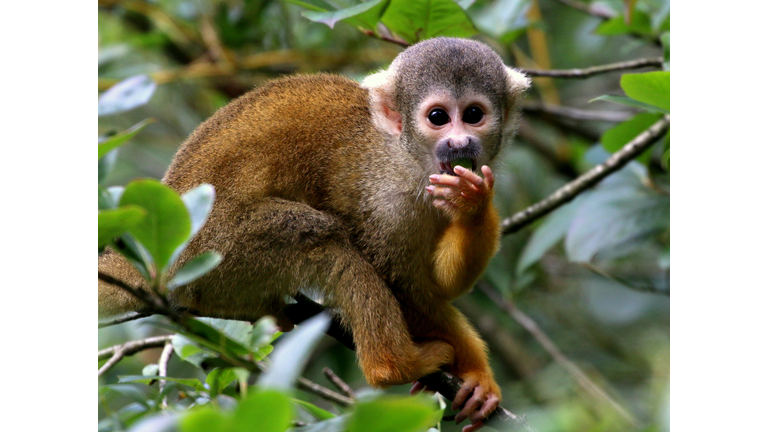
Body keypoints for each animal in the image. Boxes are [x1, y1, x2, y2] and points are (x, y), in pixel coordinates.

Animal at [99, 38, 532, 432]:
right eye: (438, 117)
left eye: (473, 114)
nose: (459, 143)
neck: (406, 157)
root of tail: (156, 266)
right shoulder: (381, 195)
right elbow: (405, 285)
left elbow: (440, 285)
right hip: (220, 248)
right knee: (328, 239)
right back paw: (393, 364)